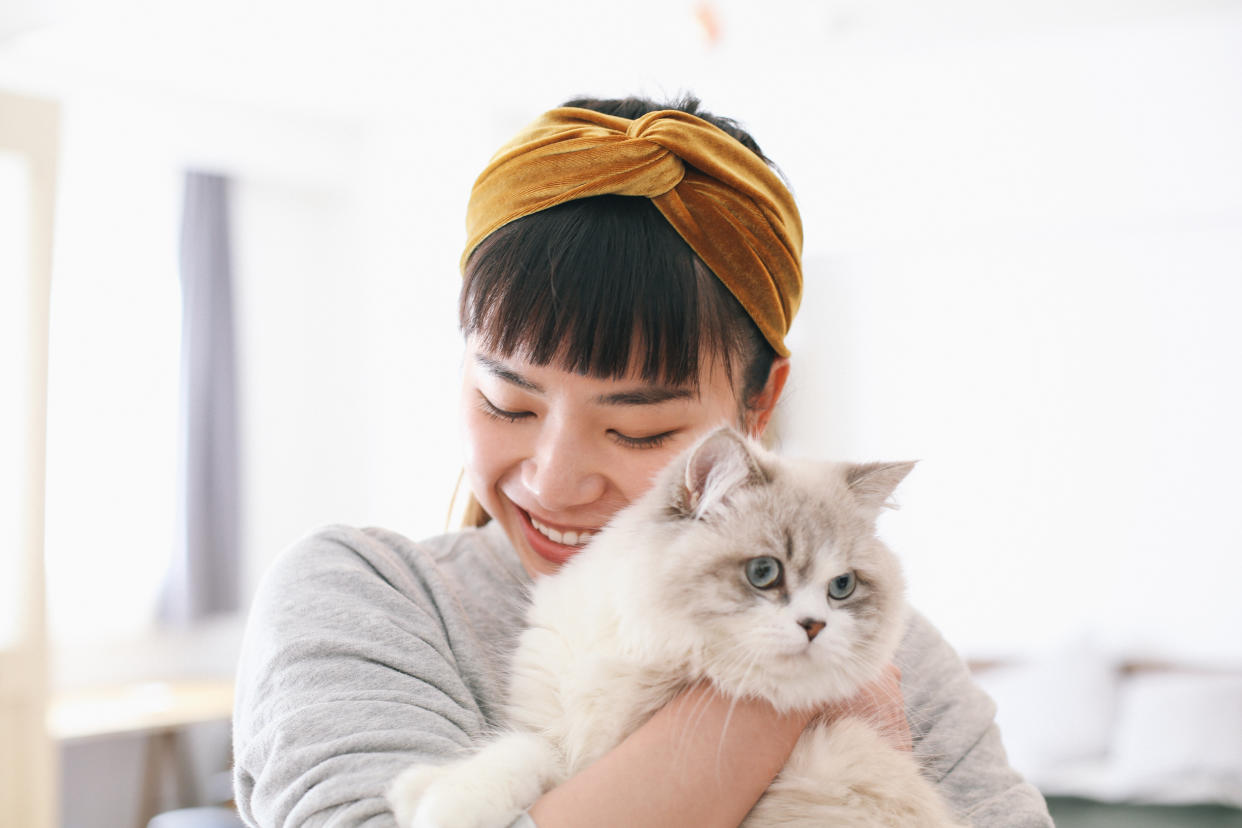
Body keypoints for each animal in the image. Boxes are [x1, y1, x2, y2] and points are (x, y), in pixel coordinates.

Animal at [382, 427, 963, 828]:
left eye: (841, 586)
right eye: (764, 572)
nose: (815, 626)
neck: (643, 643)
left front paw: (439, 806)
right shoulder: (562, 739)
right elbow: (515, 754)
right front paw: (424, 793)